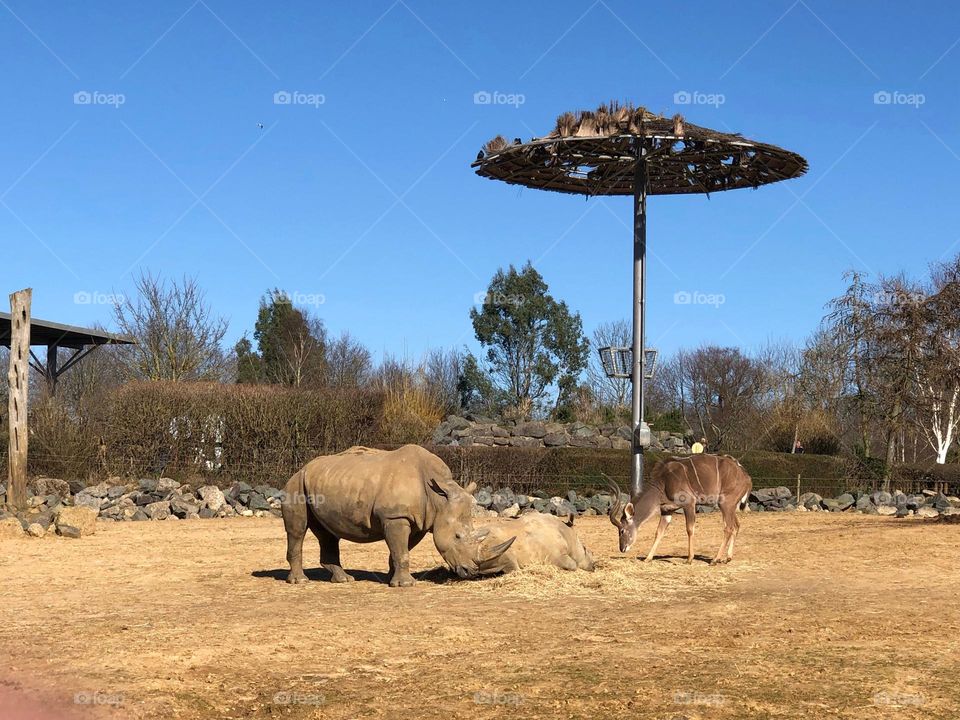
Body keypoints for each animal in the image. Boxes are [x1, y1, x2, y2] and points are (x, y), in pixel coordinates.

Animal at [281, 445, 514, 587]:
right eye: (457, 536)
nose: (471, 572)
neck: (438, 498)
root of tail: (301, 469)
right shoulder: (395, 517)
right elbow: (401, 551)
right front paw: (406, 584)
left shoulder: (419, 521)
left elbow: (401, 551)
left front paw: (391, 579)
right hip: (296, 486)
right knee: (298, 530)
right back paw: (300, 581)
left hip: (323, 484)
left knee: (328, 533)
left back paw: (344, 580)